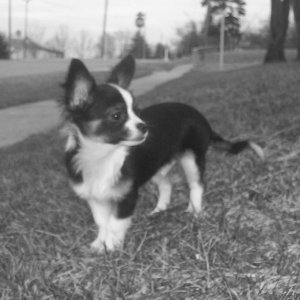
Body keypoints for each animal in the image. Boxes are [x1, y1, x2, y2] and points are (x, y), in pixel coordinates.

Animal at [60, 55, 262, 252]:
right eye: (116, 115)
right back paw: (160, 209)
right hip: (156, 166)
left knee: (196, 185)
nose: (144, 127)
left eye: (137, 112)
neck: (103, 154)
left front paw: (113, 246)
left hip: (192, 159)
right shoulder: (94, 196)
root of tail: (200, 116)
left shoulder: (127, 196)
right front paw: (100, 243)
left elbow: (115, 223)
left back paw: (194, 211)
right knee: (167, 184)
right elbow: (102, 222)